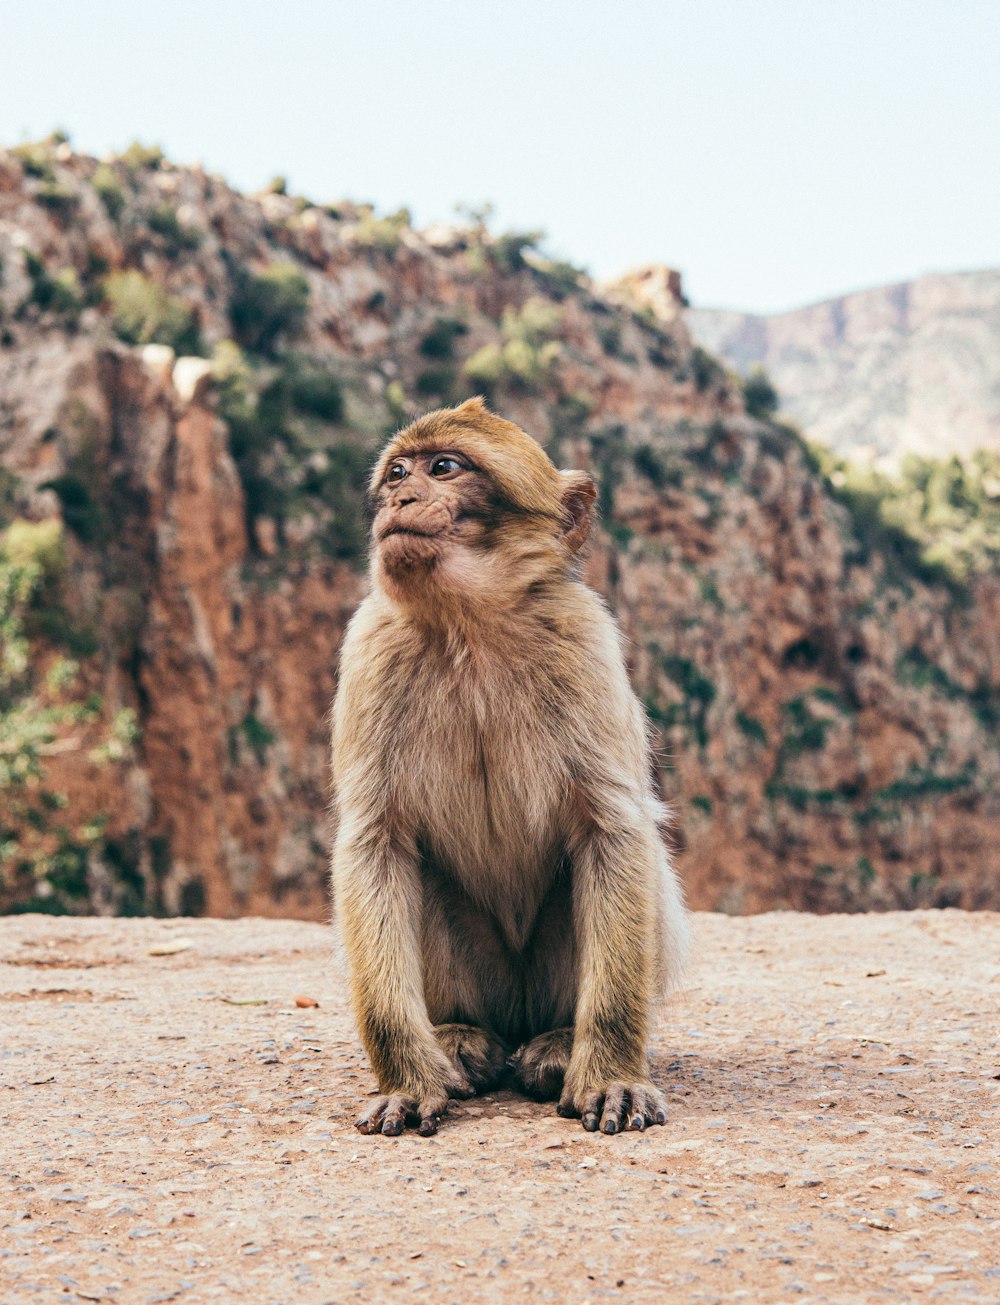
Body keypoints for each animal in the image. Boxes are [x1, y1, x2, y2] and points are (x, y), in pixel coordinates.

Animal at [328, 394, 689, 1132]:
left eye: (444, 467)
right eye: (398, 472)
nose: (399, 498)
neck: (468, 626)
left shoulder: (586, 644)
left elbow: (613, 832)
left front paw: (611, 1072)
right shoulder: (370, 650)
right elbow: (376, 844)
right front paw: (406, 1080)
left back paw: (559, 1042)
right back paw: (457, 1037)